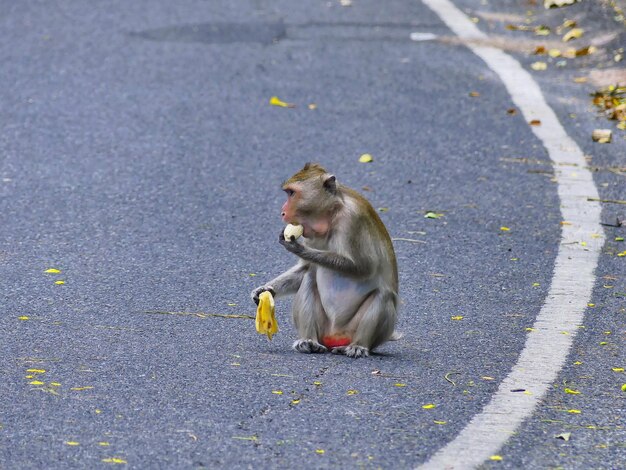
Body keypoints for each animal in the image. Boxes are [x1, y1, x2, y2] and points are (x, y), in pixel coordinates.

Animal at [249, 163, 394, 358]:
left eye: (292, 193)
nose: (282, 212)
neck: (332, 215)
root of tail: (336, 336)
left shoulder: (353, 219)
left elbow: (364, 267)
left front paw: (297, 248)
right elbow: (305, 268)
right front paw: (264, 290)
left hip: (361, 331)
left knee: (383, 295)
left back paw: (358, 345)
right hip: (324, 329)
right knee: (309, 278)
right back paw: (309, 341)